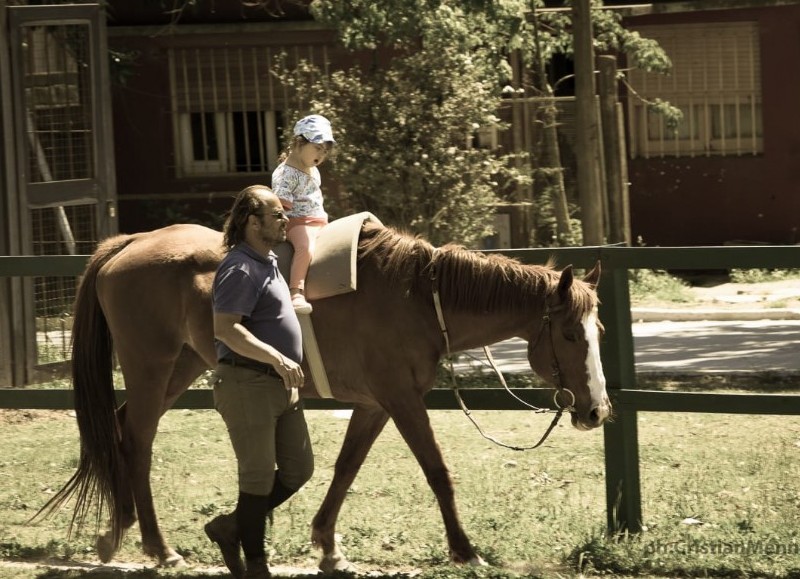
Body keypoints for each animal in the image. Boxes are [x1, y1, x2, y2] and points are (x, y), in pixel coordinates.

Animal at [37, 221, 608, 572]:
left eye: (598, 330)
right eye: (570, 335)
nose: (596, 410)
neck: (419, 297)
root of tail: (130, 242)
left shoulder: (376, 404)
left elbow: (345, 468)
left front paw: (328, 547)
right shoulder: (402, 400)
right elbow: (437, 472)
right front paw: (465, 551)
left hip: (181, 364)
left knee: (123, 431)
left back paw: (116, 534)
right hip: (151, 367)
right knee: (137, 439)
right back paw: (158, 547)